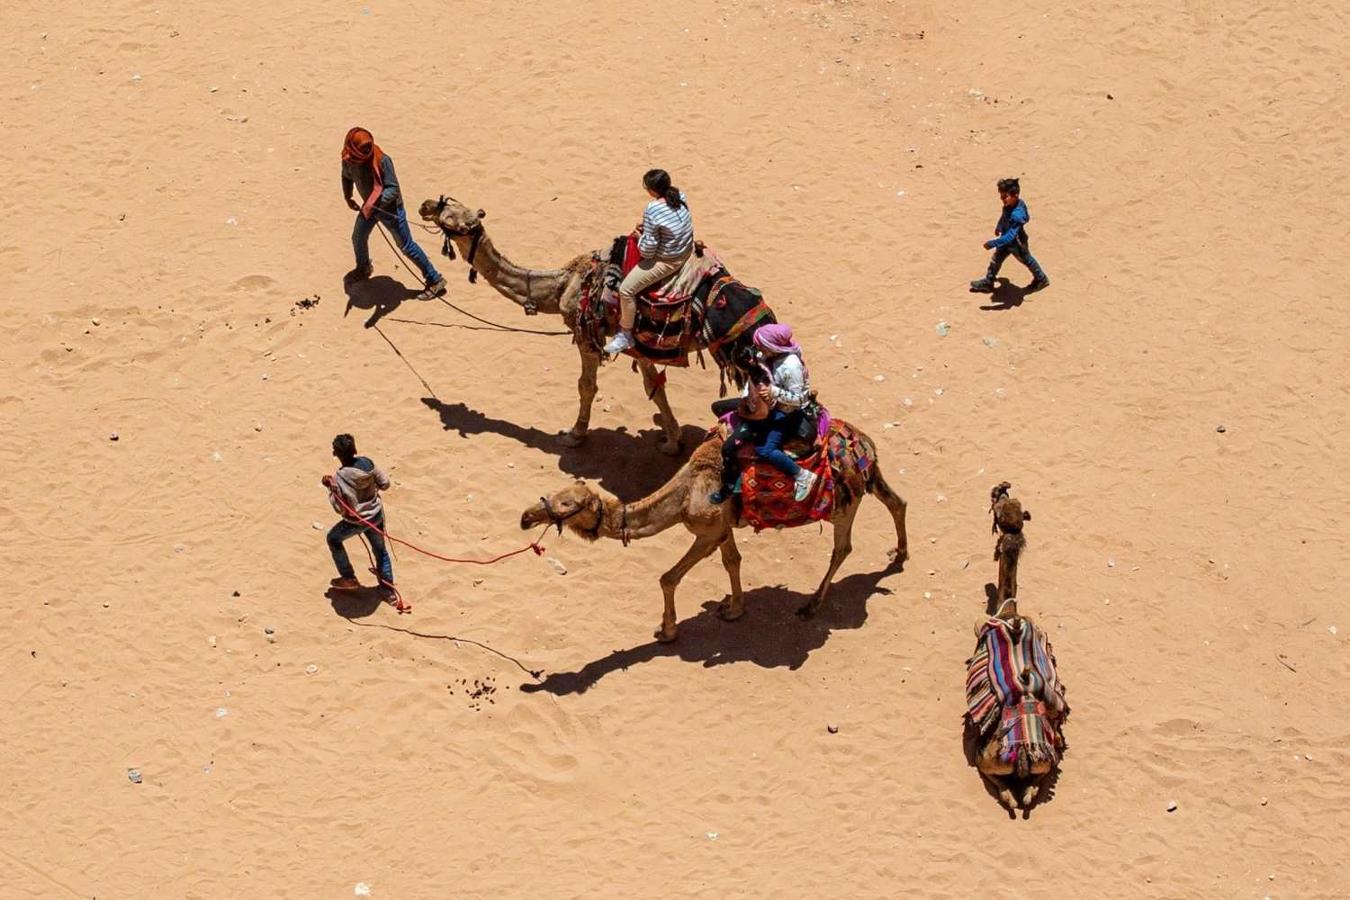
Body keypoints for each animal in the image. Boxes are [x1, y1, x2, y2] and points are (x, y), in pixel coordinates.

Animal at [415, 194, 777, 453]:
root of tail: (762, 314)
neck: (562, 286)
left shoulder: (585, 334)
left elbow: (585, 386)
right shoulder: (641, 344)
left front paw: (573, 435)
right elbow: (654, 387)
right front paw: (672, 442)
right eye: (451, 203)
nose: (425, 205)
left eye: (453, 218)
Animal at [515, 426, 907, 644]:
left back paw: (811, 605)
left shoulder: (706, 531)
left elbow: (667, 578)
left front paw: (667, 632)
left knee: (843, 547)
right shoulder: (723, 527)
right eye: (553, 493)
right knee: (897, 501)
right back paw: (899, 555)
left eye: (567, 503)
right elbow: (733, 560)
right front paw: (734, 609)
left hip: (843, 505)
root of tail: (865, 446)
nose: (526, 516)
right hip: (868, 483)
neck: (684, 493)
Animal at [966, 485, 1069, 814]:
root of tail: (1024, 753)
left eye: (1001, 509)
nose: (996, 493)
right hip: (1046, 760)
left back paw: (1010, 797)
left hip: (988, 759)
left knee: (999, 783)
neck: (1009, 610)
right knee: (1033, 788)